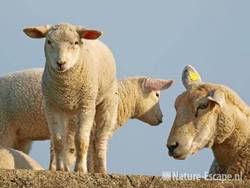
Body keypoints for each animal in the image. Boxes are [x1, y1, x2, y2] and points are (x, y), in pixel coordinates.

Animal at [22, 22, 118, 173]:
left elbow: (81, 140)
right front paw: (61, 169)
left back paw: (101, 170)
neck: (66, 87)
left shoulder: (86, 105)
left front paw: (80, 169)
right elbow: (58, 140)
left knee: (101, 139)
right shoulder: (52, 107)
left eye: (75, 42)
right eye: (49, 42)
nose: (61, 63)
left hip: (107, 103)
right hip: (69, 112)